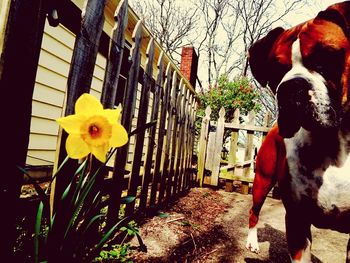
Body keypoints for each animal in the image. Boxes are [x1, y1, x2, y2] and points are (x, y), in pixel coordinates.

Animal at [246, 1, 350, 262]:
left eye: (325, 59)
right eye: (275, 72)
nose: (290, 87)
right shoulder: (296, 221)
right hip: (262, 180)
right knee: (254, 211)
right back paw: (252, 242)